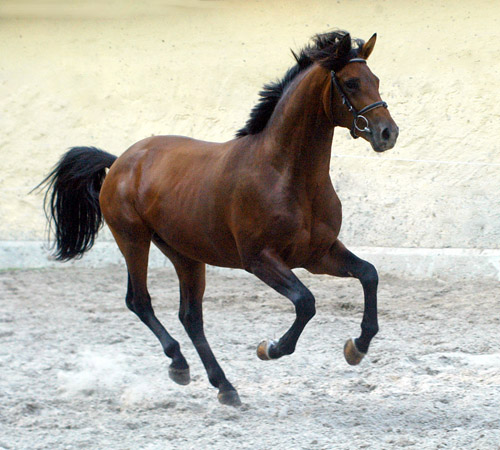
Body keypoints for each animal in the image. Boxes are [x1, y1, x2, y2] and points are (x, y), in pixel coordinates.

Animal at [39, 29, 398, 406]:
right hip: (133, 240)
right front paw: (269, 348)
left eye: (376, 80)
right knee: (140, 301)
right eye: (352, 82)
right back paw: (179, 364)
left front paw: (356, 348)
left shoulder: (318, 254)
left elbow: (369, 274)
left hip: (184, 254)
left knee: (190, 316)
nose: (388, 133)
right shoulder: (260, 259)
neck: (288, 174)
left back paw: (223, 385)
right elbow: (306, 302)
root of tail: (120, 161)